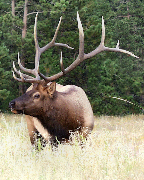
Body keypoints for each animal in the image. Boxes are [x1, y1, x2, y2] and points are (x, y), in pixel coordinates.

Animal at [9, 11, 138, 148]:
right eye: (28, 92)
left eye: (37, 95)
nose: (12, 103)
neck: (67, 125)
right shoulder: (52, 139)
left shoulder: (85, 135)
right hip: (33, 130)